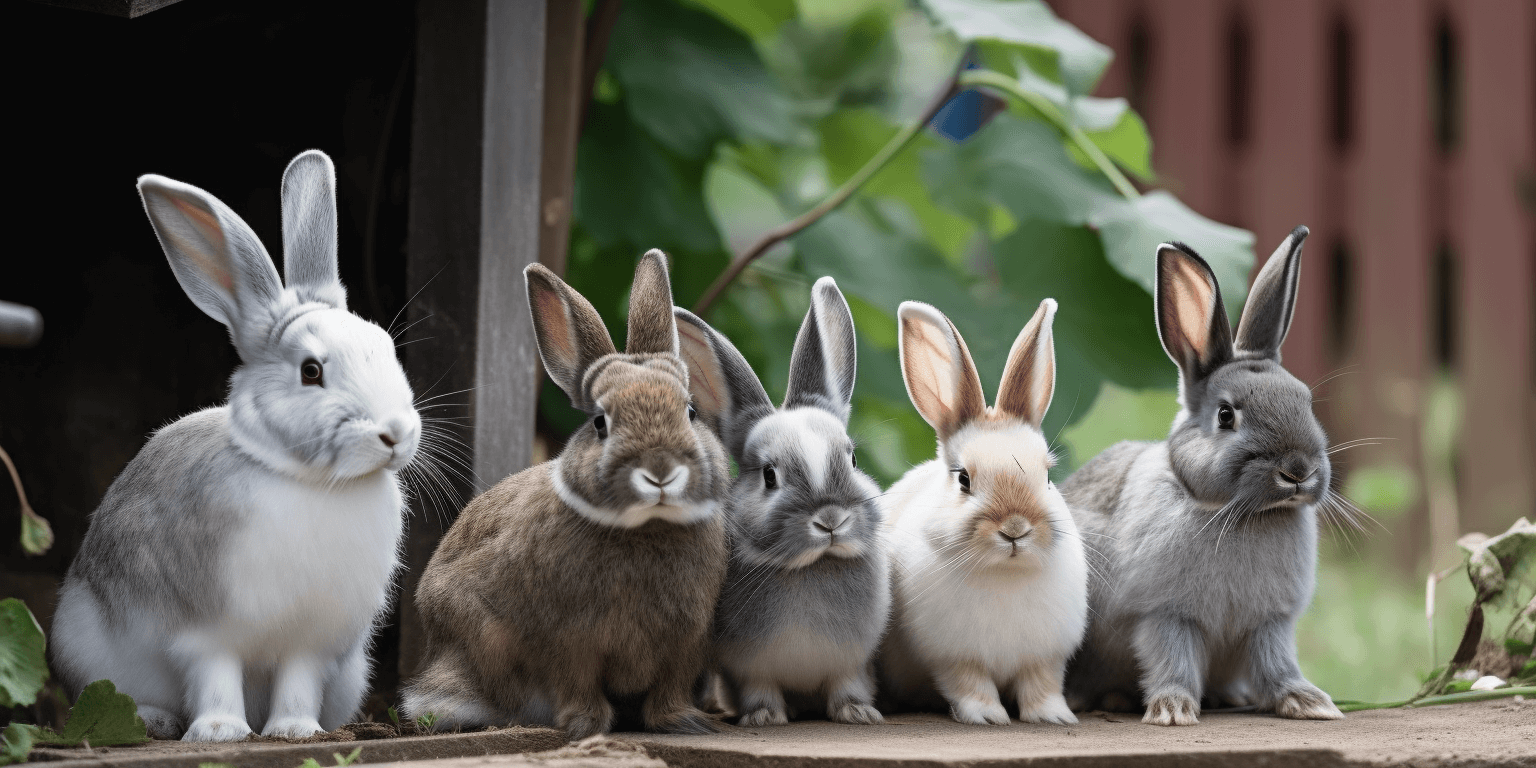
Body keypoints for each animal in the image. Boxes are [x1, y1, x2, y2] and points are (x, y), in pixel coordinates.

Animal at [49, 150, 422, 742]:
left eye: (385, 347)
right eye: (311, 371)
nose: (396, 433)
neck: (306, 479)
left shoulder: (311, 642)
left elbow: (297, 681)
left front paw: (295, 731)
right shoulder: (206, 633)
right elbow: (216, 675)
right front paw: (221, 731)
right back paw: (156, 721)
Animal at [401, 251, 730, 740]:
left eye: (689, 412)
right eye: (600, 422)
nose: (660, 472)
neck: (646, 527)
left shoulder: (688, 640)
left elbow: (669, 689)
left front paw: (685, 723)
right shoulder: (571, 640)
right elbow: (577, 682)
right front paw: (585, 726)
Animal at [673, 277, 891, 728]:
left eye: (852, 459)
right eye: (769, 476)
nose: (830, 519)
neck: (810, 568)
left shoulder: (851, 664)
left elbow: (846, 688)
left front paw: (858, 713)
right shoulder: (748, 669)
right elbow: (761, 690)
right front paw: (764, 717)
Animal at [877, 298, 1088, 726]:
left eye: (1047, 476)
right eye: (963, 479)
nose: (1015, 528)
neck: (1003, 574)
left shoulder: (1044, 658)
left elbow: (1042, 685)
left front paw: (1053, 717)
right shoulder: (953, 657)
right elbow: (970, 685)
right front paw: (989, 717)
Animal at [1061, 227, 1345, 726]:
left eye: (1305, 400)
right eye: (1227, 415)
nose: (1298, 471)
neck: (1241, 514)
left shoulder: (1269, 623)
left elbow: (1276, 663)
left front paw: (1310, 703)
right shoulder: (1166, 616)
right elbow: (1173, 660)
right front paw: (1173, 711)